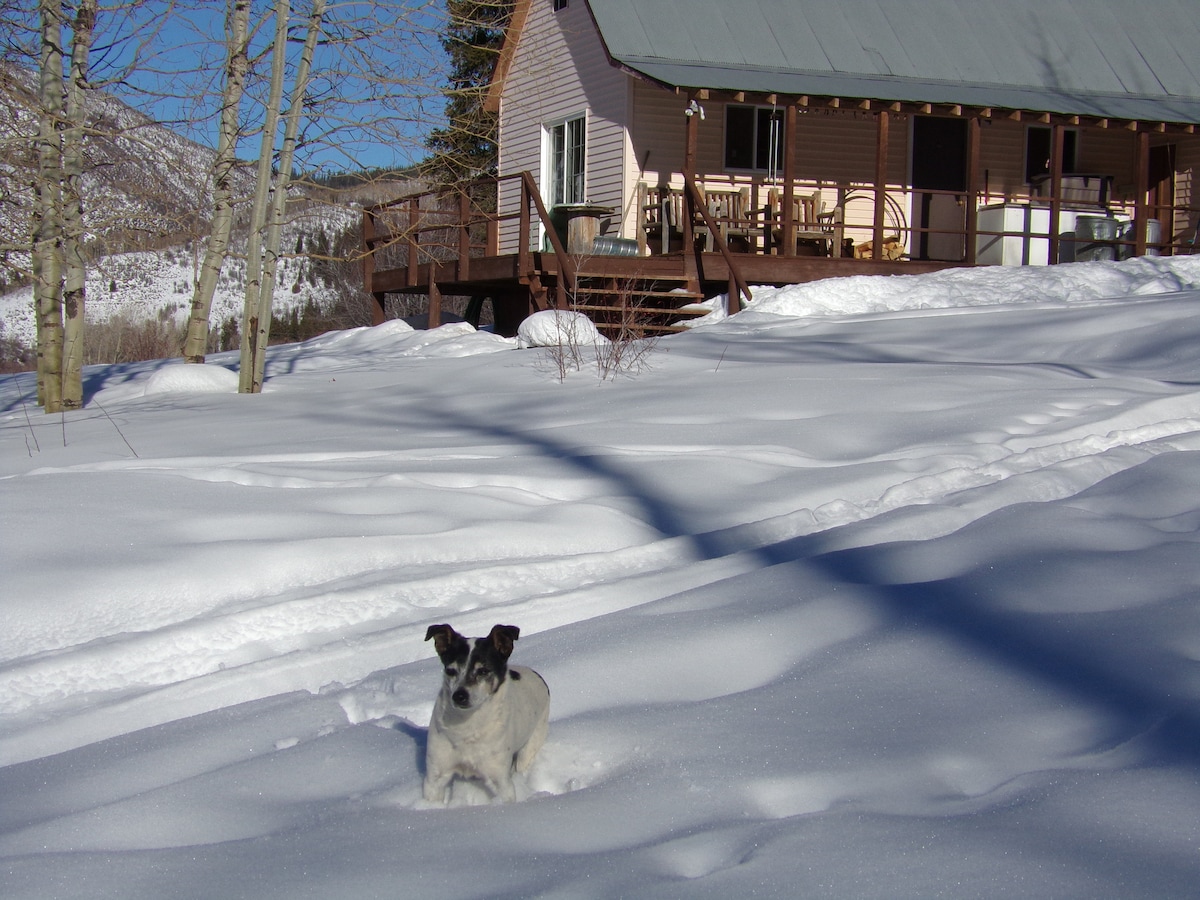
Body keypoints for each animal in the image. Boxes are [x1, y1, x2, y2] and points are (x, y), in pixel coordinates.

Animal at [424, 624, 549, 806]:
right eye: (450, 670)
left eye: (483, 671)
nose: (459, 696)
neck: (467, 728)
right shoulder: (435, 777)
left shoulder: (501, 781)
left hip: (532, 743)